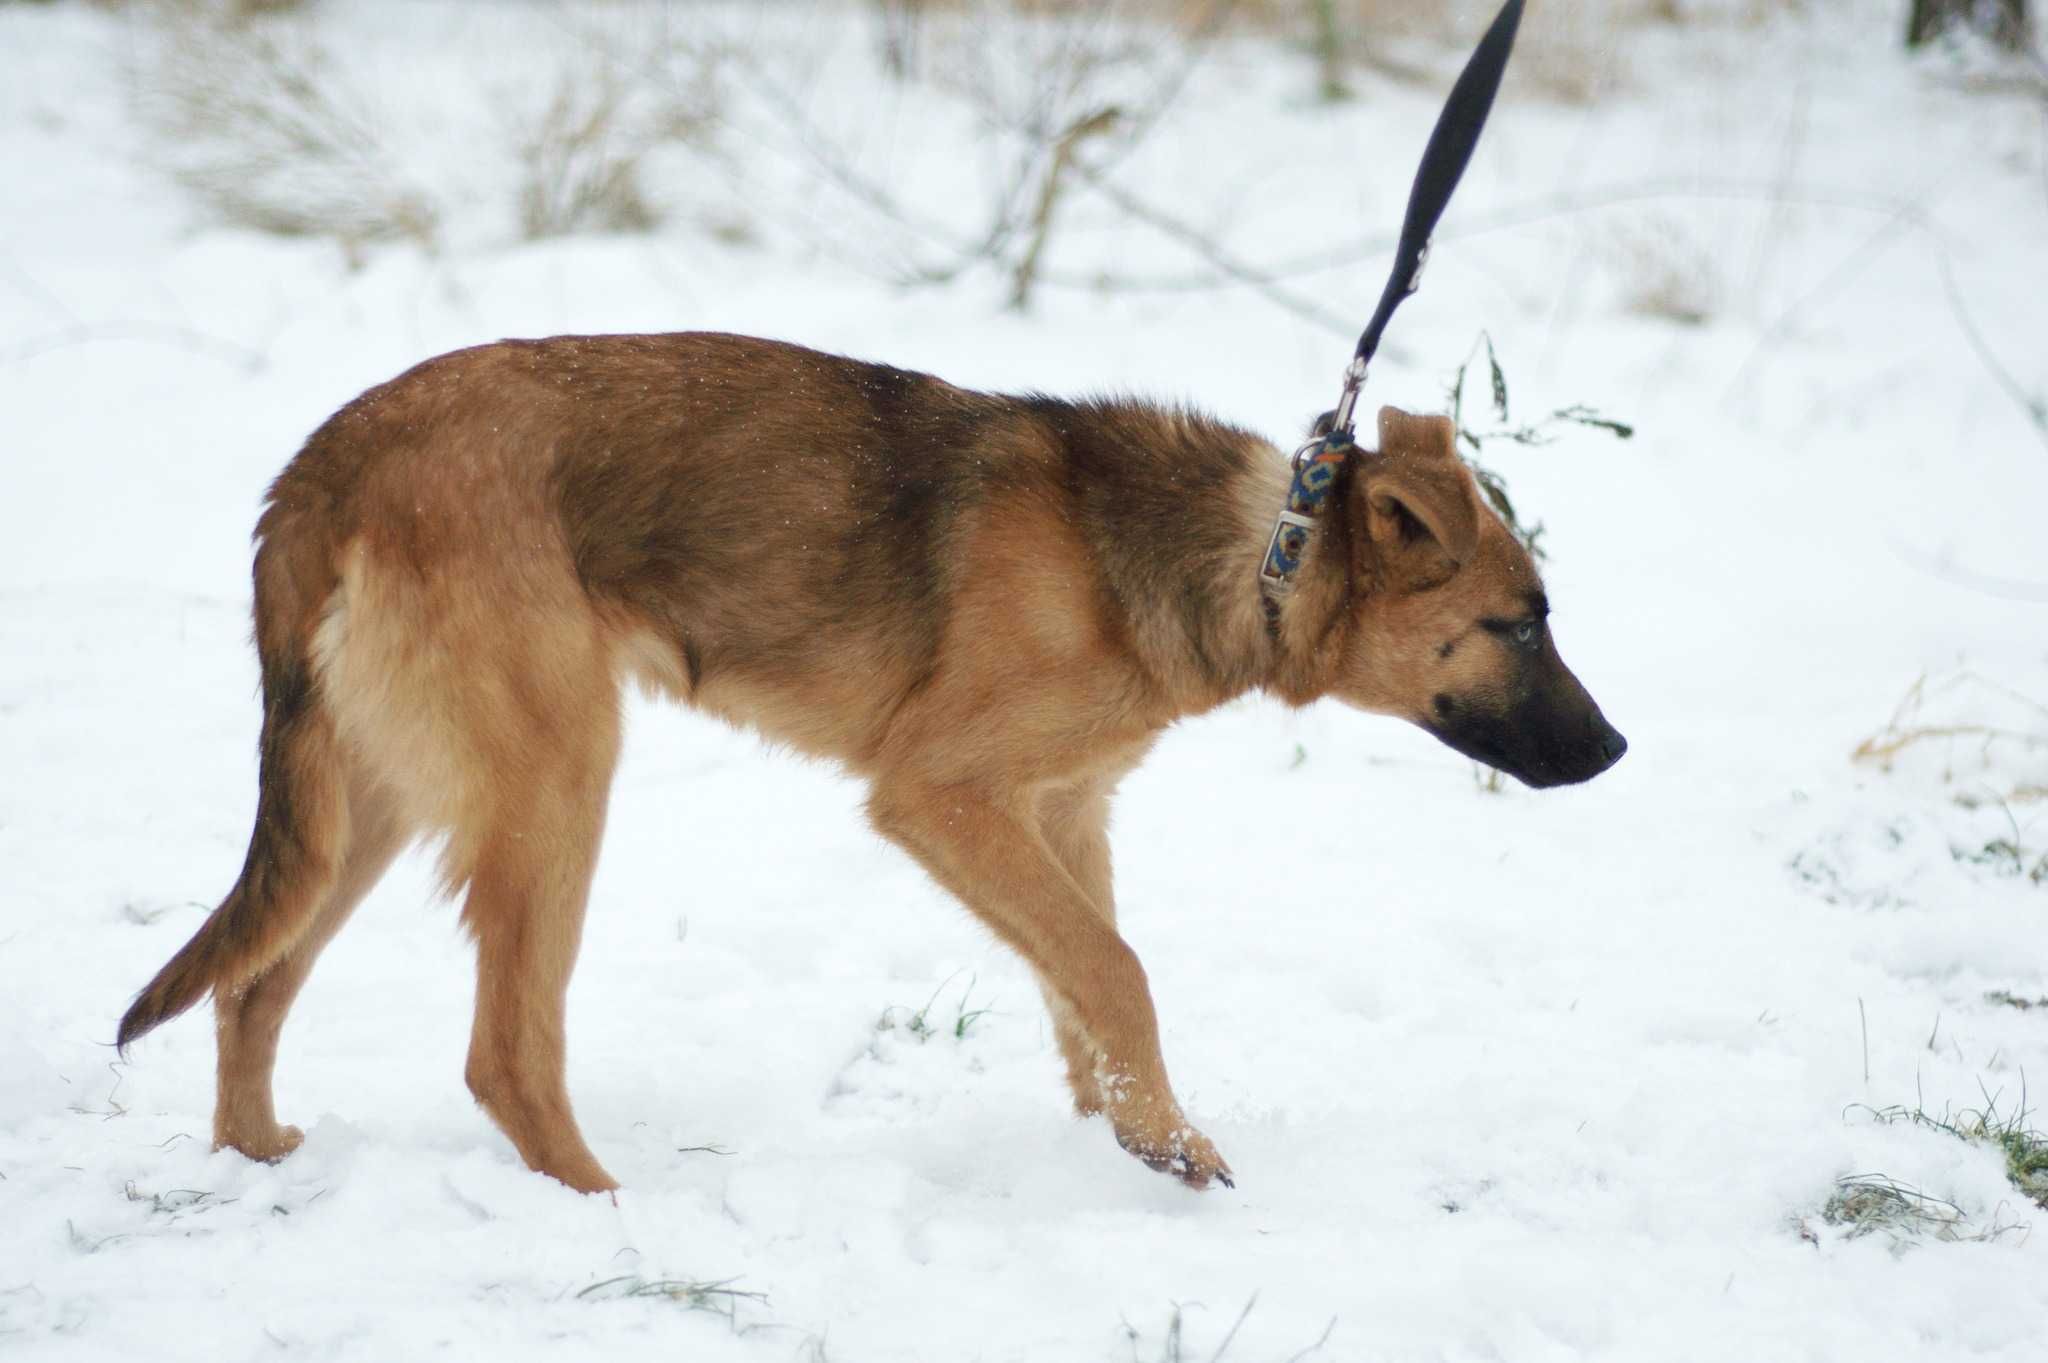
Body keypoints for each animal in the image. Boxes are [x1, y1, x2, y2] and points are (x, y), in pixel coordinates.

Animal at [119, 331, 1622, 1186]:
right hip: (553, 784)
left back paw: (255, 1164)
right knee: (500, 1049)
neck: (1258, 549)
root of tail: (325, 460)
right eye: (1521, 621)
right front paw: (1169, 1144)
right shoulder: (943, 796)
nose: (1615, 751)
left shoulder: (1061, 812)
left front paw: (1130, 1138)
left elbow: (1086, 990)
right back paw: (601, 1209)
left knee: (252, 984)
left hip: (369, 795)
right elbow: (1116, 971)